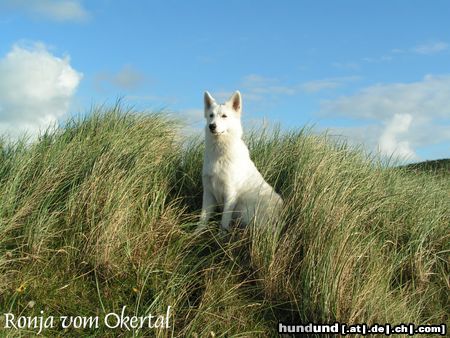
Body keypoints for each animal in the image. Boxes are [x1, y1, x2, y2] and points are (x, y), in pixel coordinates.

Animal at [198, 91, 282, 231]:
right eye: (211, 115)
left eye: (224, 116)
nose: (212, 126)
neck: (220, 153)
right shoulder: (208, 193)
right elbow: (202, 220)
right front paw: (195, 234)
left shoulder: (230, 195)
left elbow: (224, 223)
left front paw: (221, 236)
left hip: (245, 211)